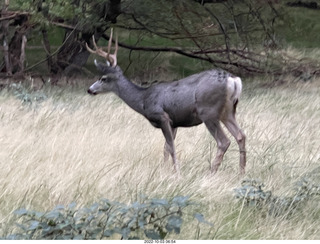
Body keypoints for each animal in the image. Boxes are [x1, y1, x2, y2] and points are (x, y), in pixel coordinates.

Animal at [85, 30, 245, 175]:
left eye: (103, 78)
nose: (89, 89)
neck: (143, 100)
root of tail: (233, 79)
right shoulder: (174, 122)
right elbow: (166, 148)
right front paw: (165, 170)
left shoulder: (162, 117)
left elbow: (171, 147)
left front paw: (177, 173)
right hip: (228, 111)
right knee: (241, 135)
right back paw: (241, 172)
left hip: (208, 111)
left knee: (223, 141)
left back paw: (211, 172)